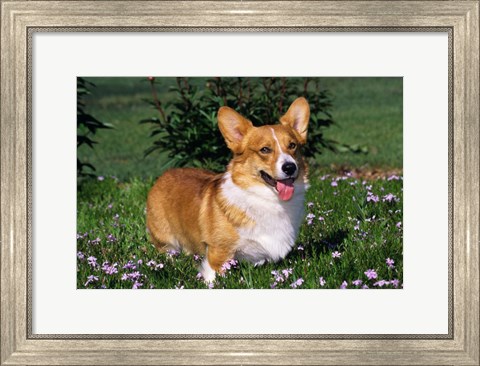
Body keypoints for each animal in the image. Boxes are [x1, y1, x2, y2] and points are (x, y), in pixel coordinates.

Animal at [147, 96, 312, 280]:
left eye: (292, 146)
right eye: (265, 149)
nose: (290, 167)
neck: (269, 200)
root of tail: (165, 175)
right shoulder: (219, 254)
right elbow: (215, 278)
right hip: (165, 240)